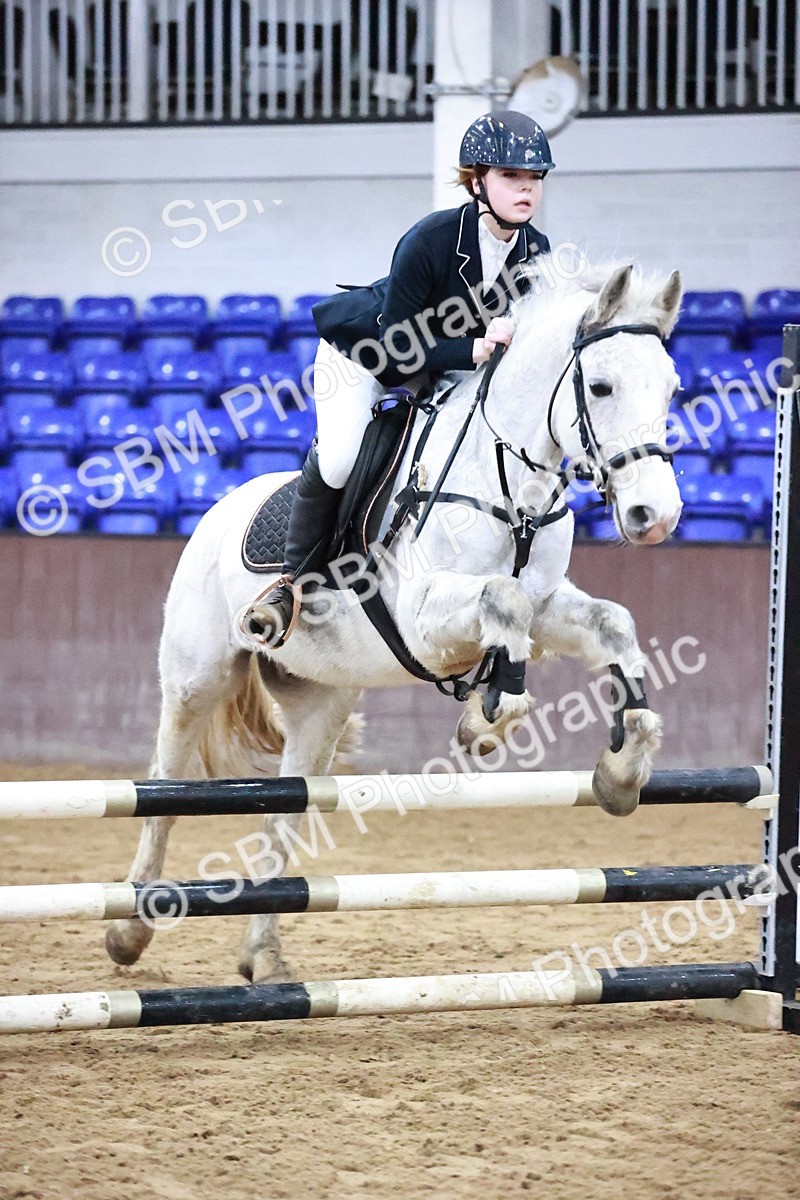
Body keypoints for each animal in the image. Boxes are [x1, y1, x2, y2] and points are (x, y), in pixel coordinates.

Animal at [105, 258, 684, 983]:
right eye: (602, 387)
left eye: (672, 388)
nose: (656, 516)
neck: (507, 485)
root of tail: (216, 510)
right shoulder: (420, 616)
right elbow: (505, 601)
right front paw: (489, 720)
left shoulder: (552, 603)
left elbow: (609, 624)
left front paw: (622, 768)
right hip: (195, 679)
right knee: (165, 786)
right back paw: (130, 930)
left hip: (320, 705)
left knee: (283, 810)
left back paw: (264, 956)